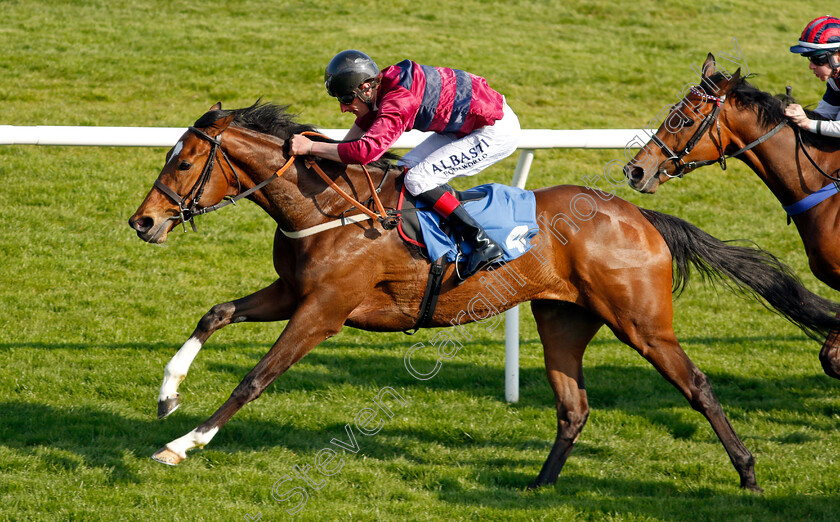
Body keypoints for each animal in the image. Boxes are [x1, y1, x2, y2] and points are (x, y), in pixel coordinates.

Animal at [126, 100, 840, 488]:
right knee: (573, 407)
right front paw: (167, 395)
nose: (143, 222)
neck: (329, 208)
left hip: (642, 322)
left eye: (182, 162)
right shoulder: (291, 291)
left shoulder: (323, 312)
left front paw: (182, 444)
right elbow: (215, 313)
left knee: (696, 386)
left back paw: (747, 471)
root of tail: (637, 214)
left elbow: (255, 377)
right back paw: (539, 486)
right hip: (561, 320)